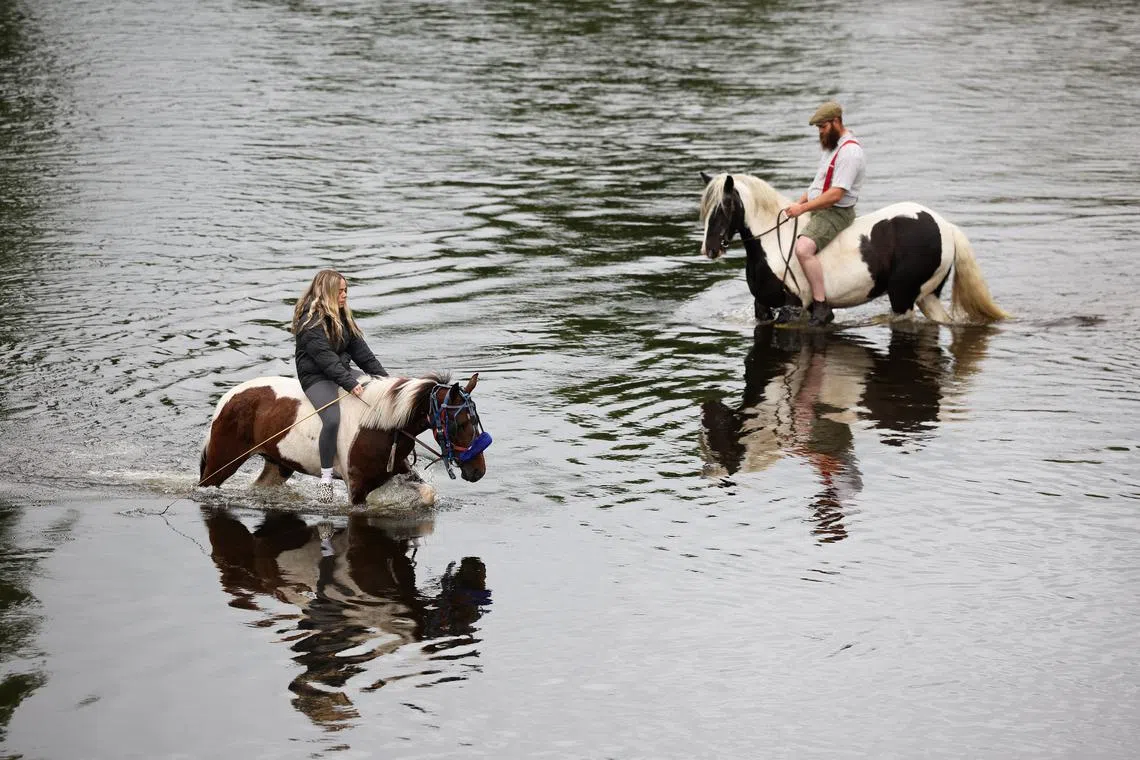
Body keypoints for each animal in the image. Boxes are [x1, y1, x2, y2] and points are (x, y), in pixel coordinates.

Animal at [199, 372, 491, 506]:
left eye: (475, 420)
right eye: (460, 423)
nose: (477, 471)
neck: (380, 426)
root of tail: (228, 399)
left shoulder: (396, 470)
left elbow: (428, 494)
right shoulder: (357, 489)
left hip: (278, 465)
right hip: (221, 464)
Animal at [698, 172, 1009, 325]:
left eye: (725, 206)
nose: (709, 249)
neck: (774, 243)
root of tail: (945, 226)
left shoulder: (793, 307)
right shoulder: (762, 307)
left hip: (903, 296)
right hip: (926, 295)